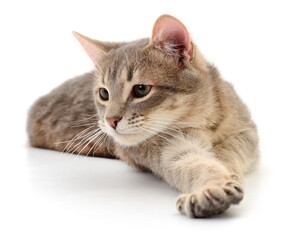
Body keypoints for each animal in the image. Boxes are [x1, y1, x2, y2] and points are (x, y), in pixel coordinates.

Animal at [27, 14, 260, 218]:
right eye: (104, 94)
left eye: (141, 90)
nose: (110, 120)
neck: (204, 122)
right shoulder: (169, 152)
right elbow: (196, 164)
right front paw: (212, 185)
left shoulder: (246, 134)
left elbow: (228, 154)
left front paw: (227, 171)